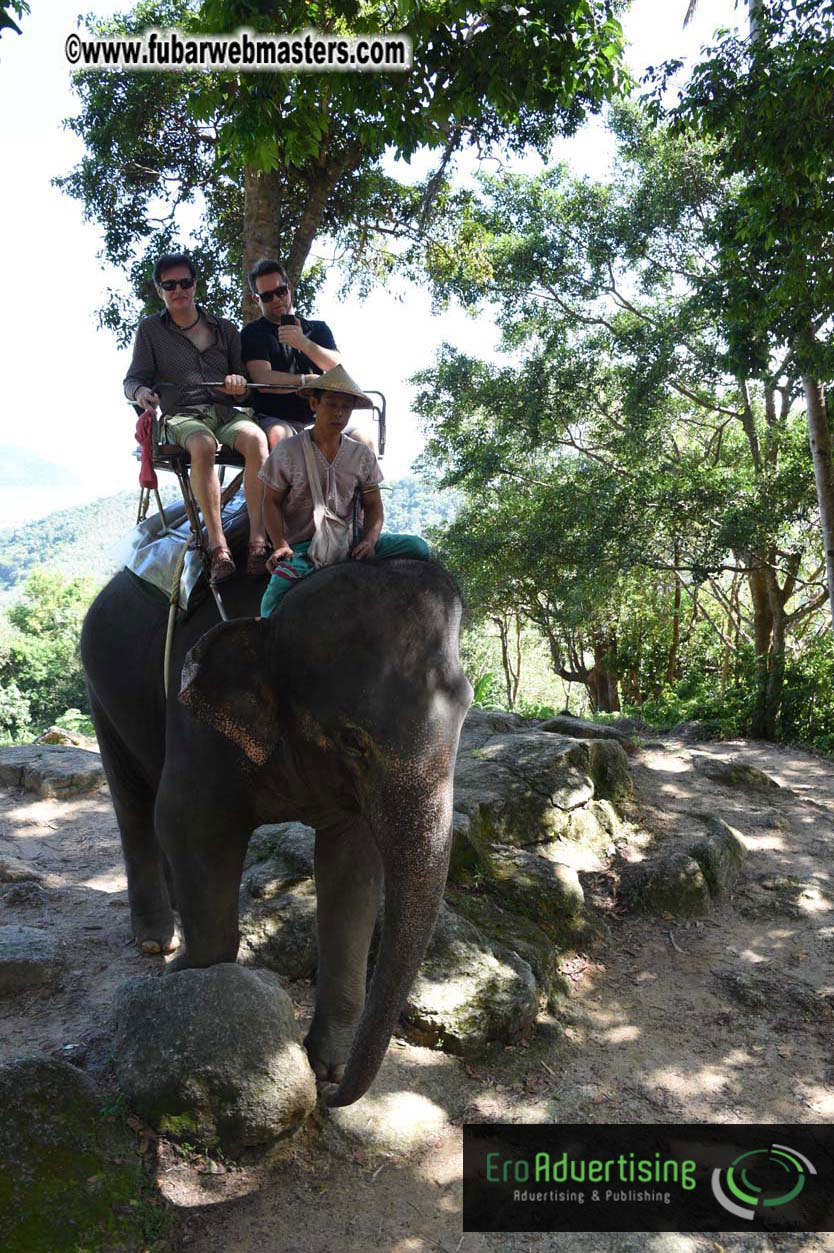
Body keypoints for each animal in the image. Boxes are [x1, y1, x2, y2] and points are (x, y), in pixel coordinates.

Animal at [80, 556, 471, 1108]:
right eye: (353, 740)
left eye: (467, 714)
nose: (331, 1097)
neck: (276, 616)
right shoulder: (197, 723)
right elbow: (187, 821)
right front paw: (185, 976)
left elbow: (352, 867)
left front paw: (326, 1065)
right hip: (99, 688)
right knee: (135, 801)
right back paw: (156, 942)